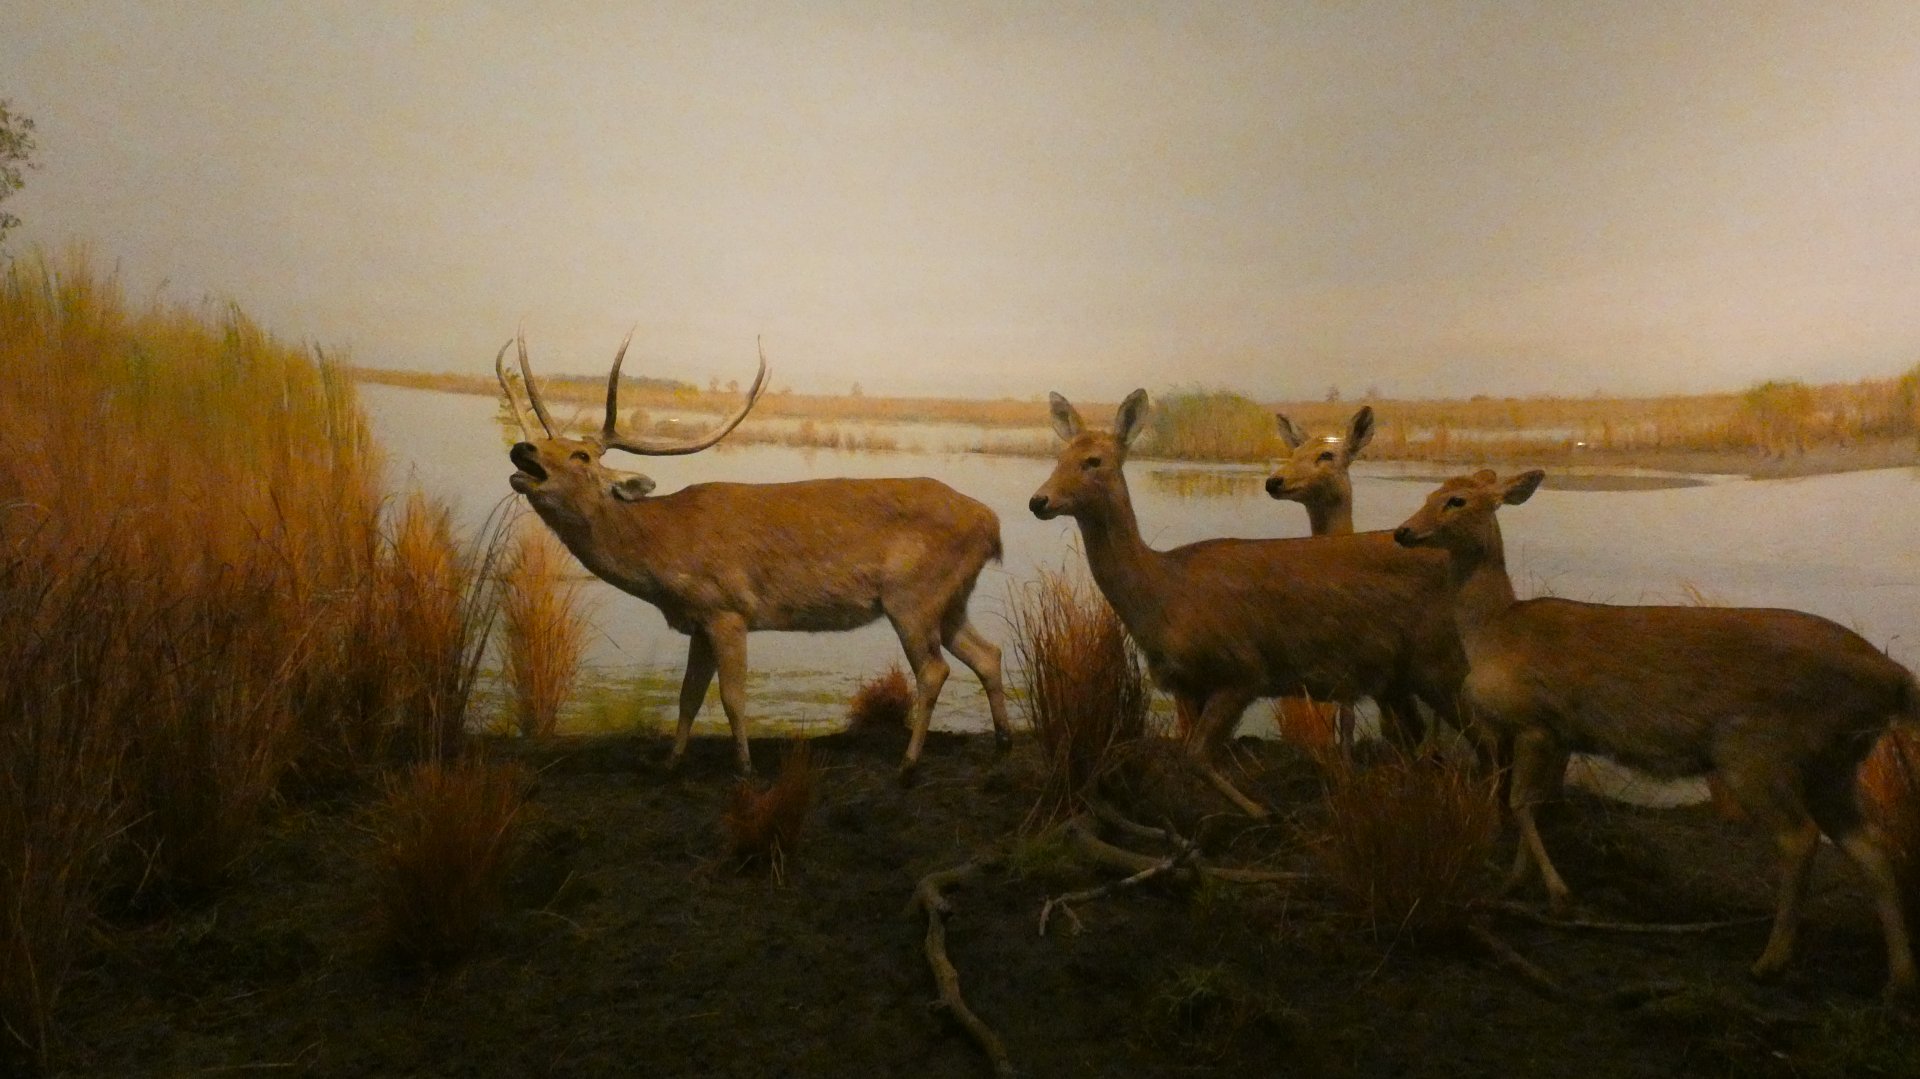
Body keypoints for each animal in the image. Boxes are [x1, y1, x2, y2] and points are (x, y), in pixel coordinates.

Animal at [497, 332, 1011, 782]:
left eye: (581, 456)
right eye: (546, 443)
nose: (522, 449)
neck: (662, 546)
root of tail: (991, 523)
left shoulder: (727, 608)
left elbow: (731, 696)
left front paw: (744, 769)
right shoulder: (698, 620)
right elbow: (687, 696)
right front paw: (669, 764)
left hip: (913, 595)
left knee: (934, 670)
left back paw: (907, 765)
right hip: (951, 598)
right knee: (988, 654)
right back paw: (1003, 743)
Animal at [1027, 389, 1468, 816]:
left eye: (1093, 460)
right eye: (1058, 457)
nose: (1038, 501)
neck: (1164, 593)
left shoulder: (1242, 669)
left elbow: (1197, 756)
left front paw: (1261, 811)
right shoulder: (1188, 685)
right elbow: (1191, 756)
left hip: (1441, 664)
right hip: (1400, 679)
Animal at [1393, 469, 1917, 1001]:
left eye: (1456, 501)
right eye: (1429, 494)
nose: (1403, 532)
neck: (1494, 632)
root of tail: (1896, 678)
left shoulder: (1534, 721)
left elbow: (1520, 802)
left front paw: (1560, 896)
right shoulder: (1560, 734)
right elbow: (1535, 804)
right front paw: (1516, 885)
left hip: (1757, 752)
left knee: (1799, 837)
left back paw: (1769, 963)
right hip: (1837, 761)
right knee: (1871, 846)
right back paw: (1898, 980)